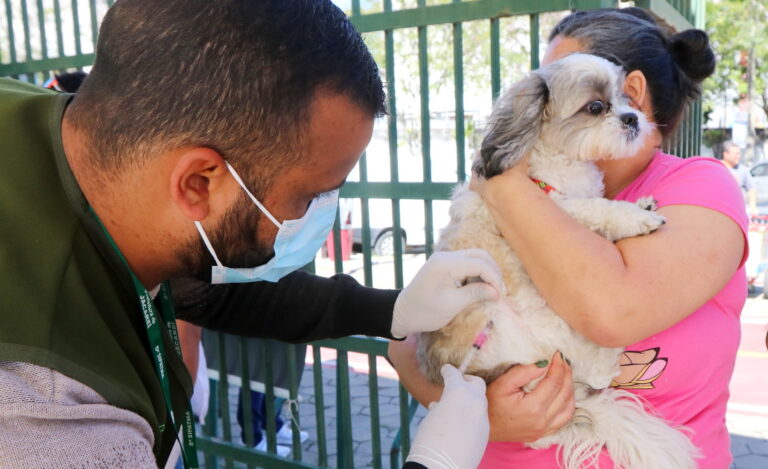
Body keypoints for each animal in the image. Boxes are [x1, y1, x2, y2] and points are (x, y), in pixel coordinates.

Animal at [416, 54, 700, 468]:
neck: (562, 164)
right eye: (595, 107)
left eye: (626, 98)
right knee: (594, 373)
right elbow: (597, 208)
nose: (632, 118)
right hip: (526, 319)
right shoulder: (562, 208)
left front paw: (640, 206)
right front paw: (636, 218)